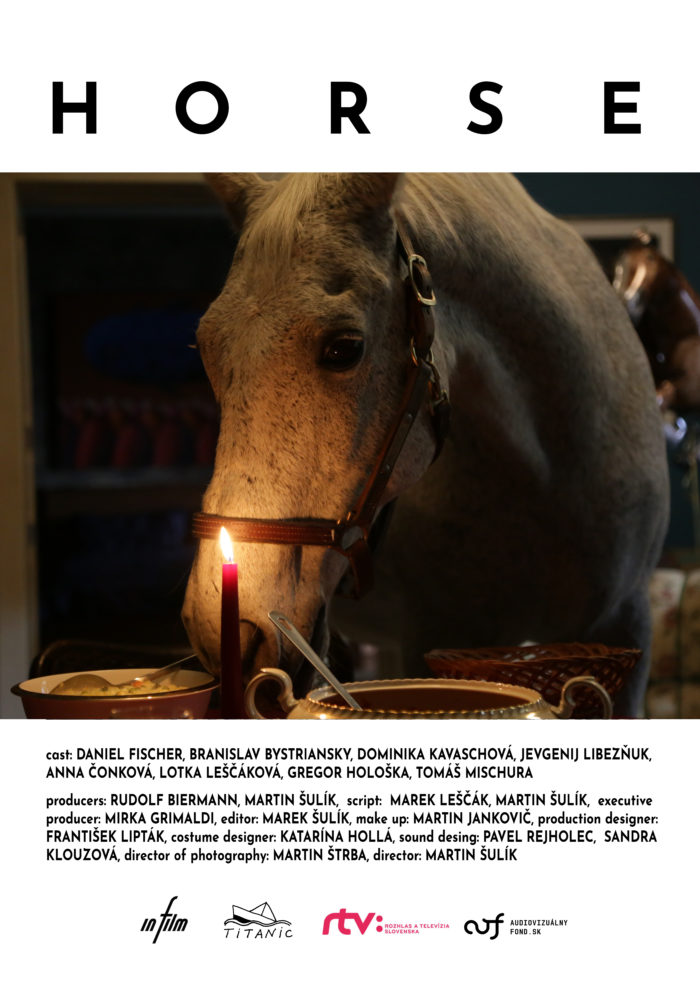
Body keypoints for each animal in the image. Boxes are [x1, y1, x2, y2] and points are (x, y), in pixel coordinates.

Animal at [181, 173, 669, 716]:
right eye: (206, 348)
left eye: (345, 348)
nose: (228, 633)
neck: (546, 476)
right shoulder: (432, 639)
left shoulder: (628, 625)